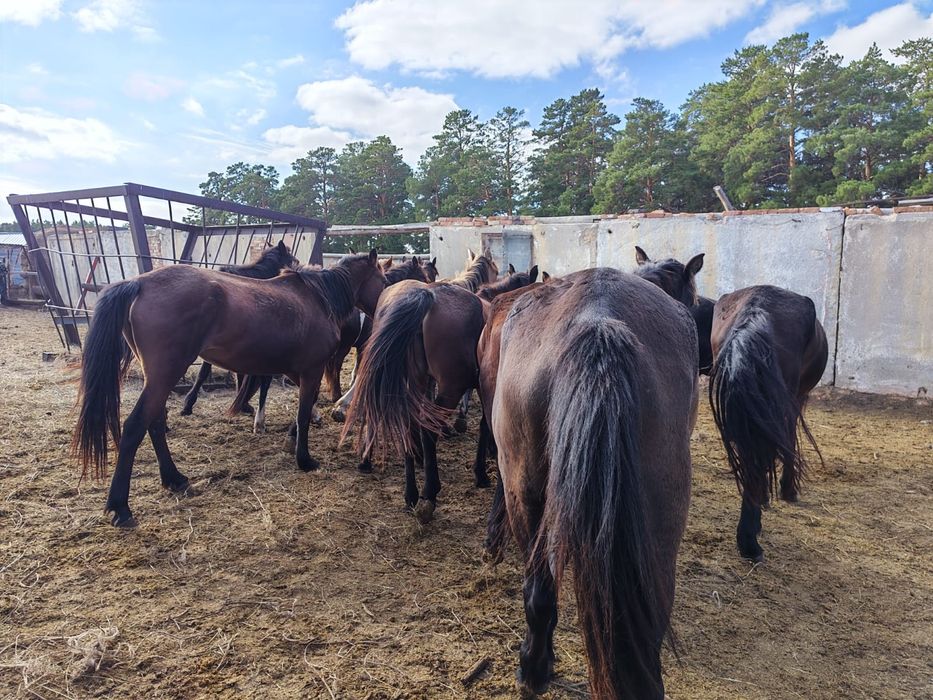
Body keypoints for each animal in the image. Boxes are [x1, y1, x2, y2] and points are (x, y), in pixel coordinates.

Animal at [341, 249, 500, 521]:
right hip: (449, 386)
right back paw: (429, 492)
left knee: (408, 420)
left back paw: (411, 493)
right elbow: (483, 425)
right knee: (426, 426)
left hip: (411, 379)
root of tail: (425, 297)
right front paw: (481, 473)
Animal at [708, 284, 828, 561]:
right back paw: (750, 538)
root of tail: (757, 306)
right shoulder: (794, 401)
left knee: (751, 452)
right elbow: (788, 442)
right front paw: (788, 489)